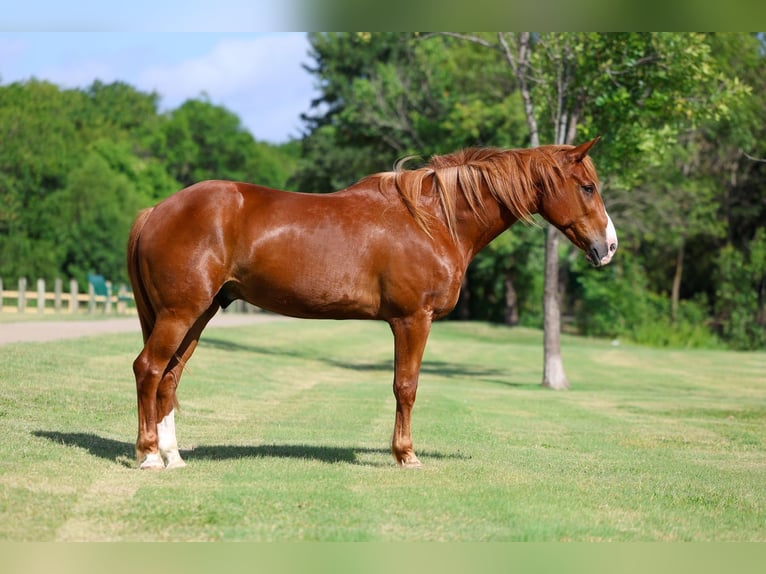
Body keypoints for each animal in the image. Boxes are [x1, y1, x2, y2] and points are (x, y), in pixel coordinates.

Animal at [127, 137, 618, 470]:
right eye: (587, 187)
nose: (608, 247)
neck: (433, 220)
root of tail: (155, 210)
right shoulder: (412, 320)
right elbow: (406, 387)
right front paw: (406, 455)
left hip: (198, 314)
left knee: (169, 378)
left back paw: (173, 456)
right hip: (180, 314)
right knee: (148, 369)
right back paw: (149, 455)